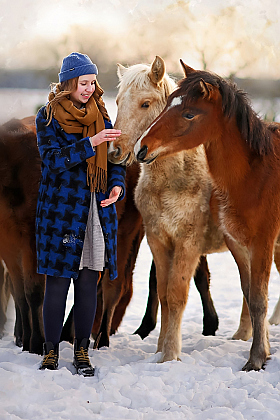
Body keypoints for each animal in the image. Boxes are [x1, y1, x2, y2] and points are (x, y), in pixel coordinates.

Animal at [109, 55, 280, 360]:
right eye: (117, 101)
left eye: (145, 103)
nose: (116, 151)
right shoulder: (158, 239)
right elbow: (163, 293)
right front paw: (160, 348)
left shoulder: (188, 242)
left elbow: (177, 294)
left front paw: (170, 354)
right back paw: (242, 336)